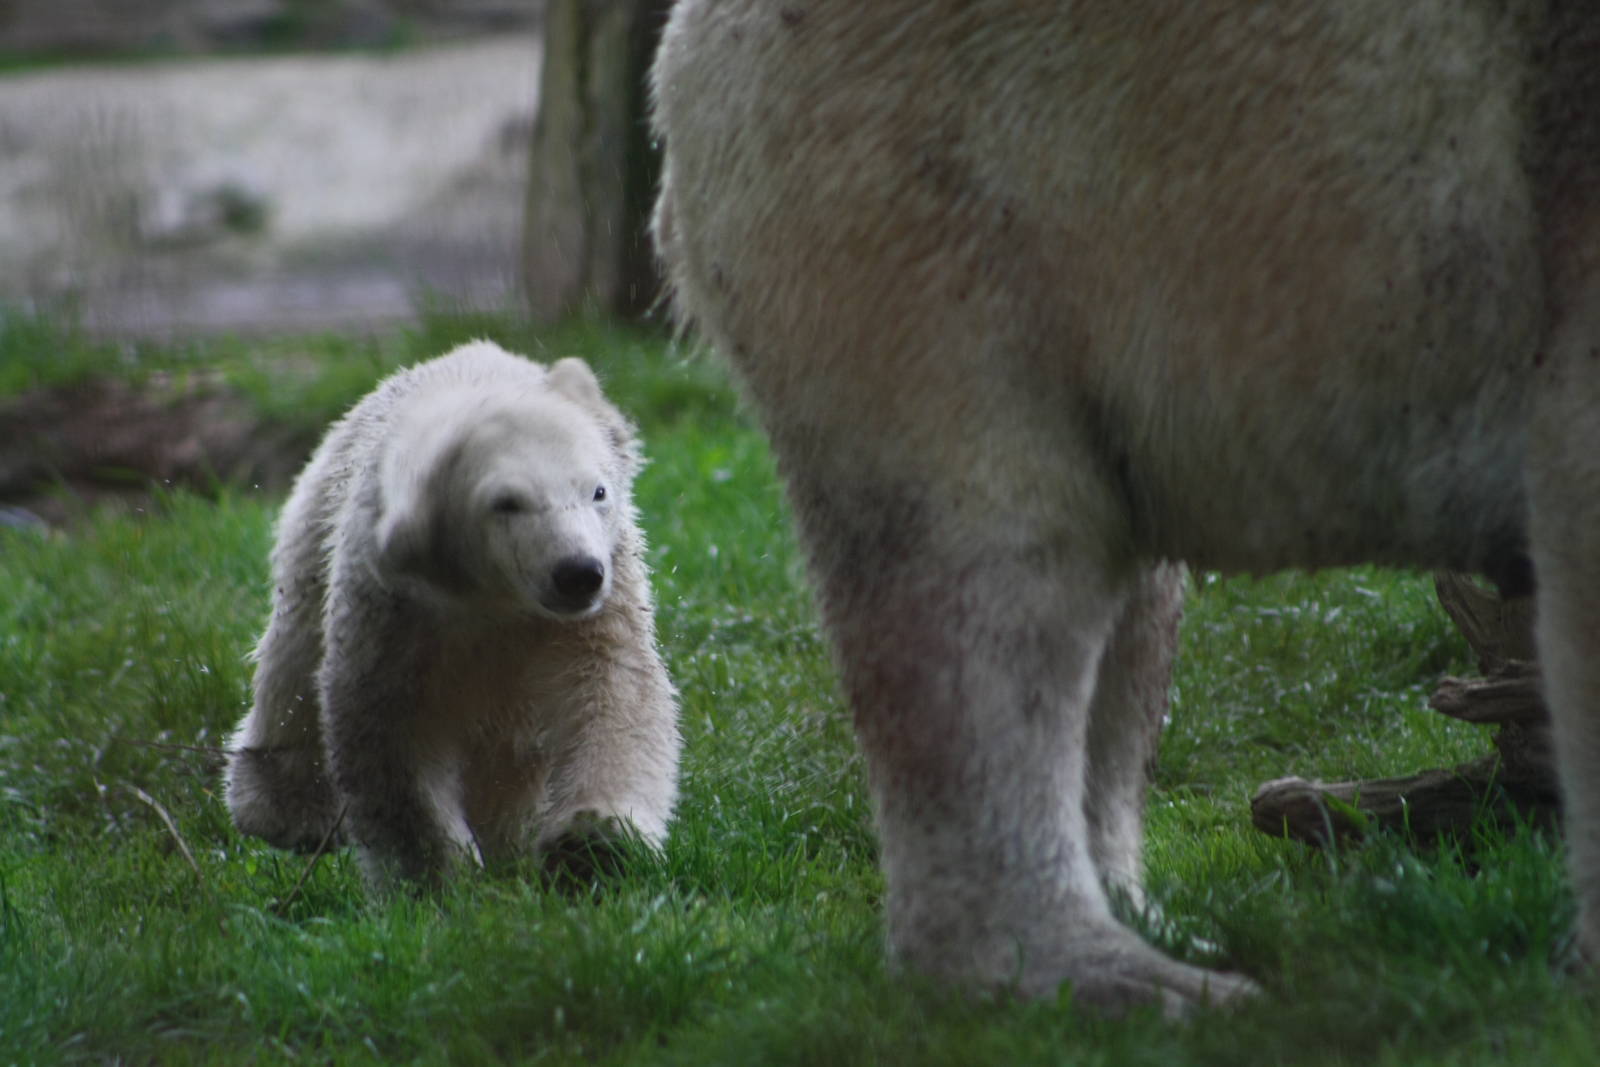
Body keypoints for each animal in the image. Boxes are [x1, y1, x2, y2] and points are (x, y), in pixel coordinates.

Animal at [223, 340, 681, 893]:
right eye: (506, 503)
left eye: (598, 491)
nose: (578, 573)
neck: (492, 599)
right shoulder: (391, 607)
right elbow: (387, 735)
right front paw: (437, 880)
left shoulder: (594, 612)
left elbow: (614, 696)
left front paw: (593, 846)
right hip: (317, 524)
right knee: (292, 658)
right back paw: (287, 810)